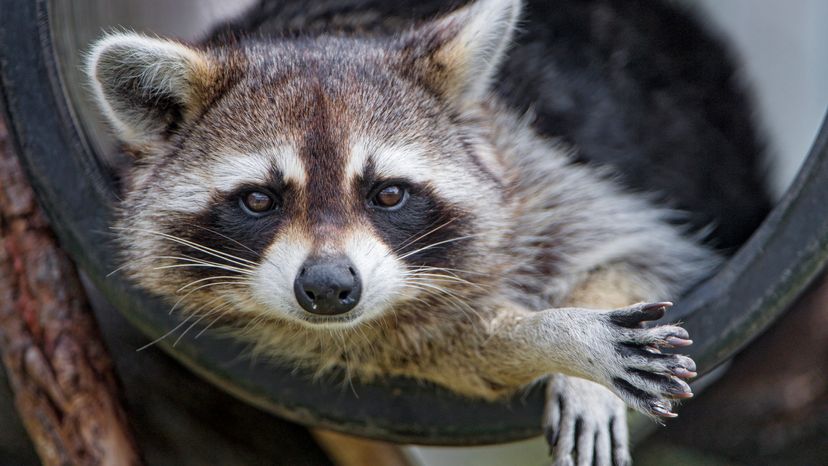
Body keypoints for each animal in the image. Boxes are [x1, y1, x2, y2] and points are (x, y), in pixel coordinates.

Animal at [85, 0, 768, 464]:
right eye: (259, 200)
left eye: (388, 194)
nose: (329, 289)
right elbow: (445, 350)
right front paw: (555, 336)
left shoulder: (531, 177)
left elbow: (640, 251)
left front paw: (581, 330)